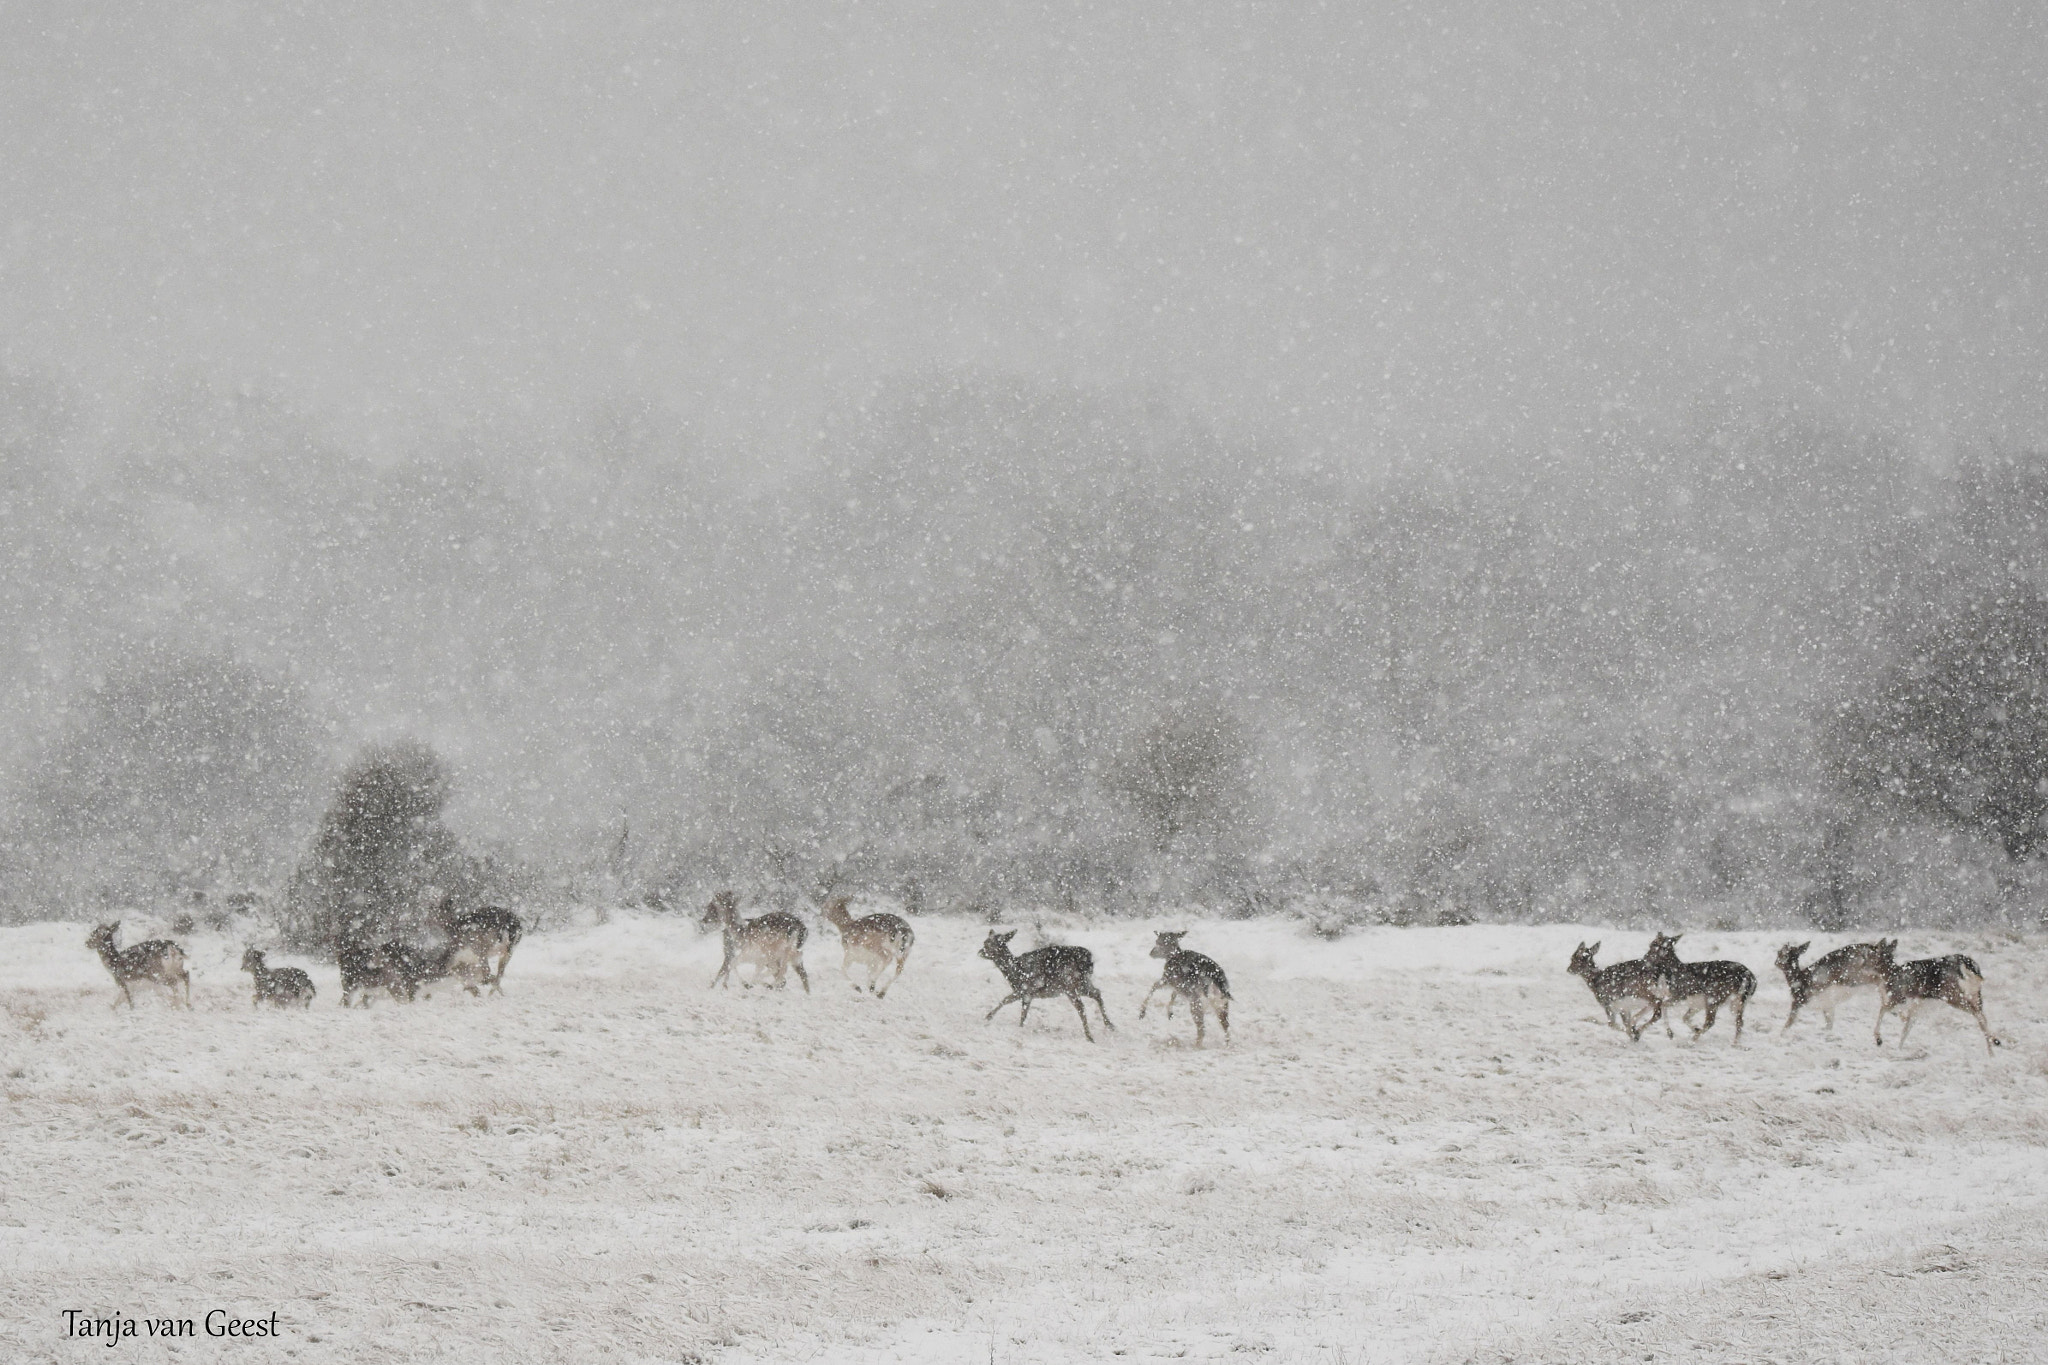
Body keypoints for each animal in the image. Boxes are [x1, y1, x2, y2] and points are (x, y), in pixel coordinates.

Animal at [978, 929, 1114, 1047]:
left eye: (991, 943)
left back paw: (1089, 1036)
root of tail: (1088, 960)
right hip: (1082, 983)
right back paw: (1110, 1025)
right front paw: (1020, 1027)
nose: (980, 952)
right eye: (985, 941)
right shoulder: (1027, 995)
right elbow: (1023, 1014)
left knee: (1081, 1007)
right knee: (1097, 993)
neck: (1015, 972)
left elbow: (1005, 1000)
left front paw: (988, 1016)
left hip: (1069, 984)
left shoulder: (1024, 989)